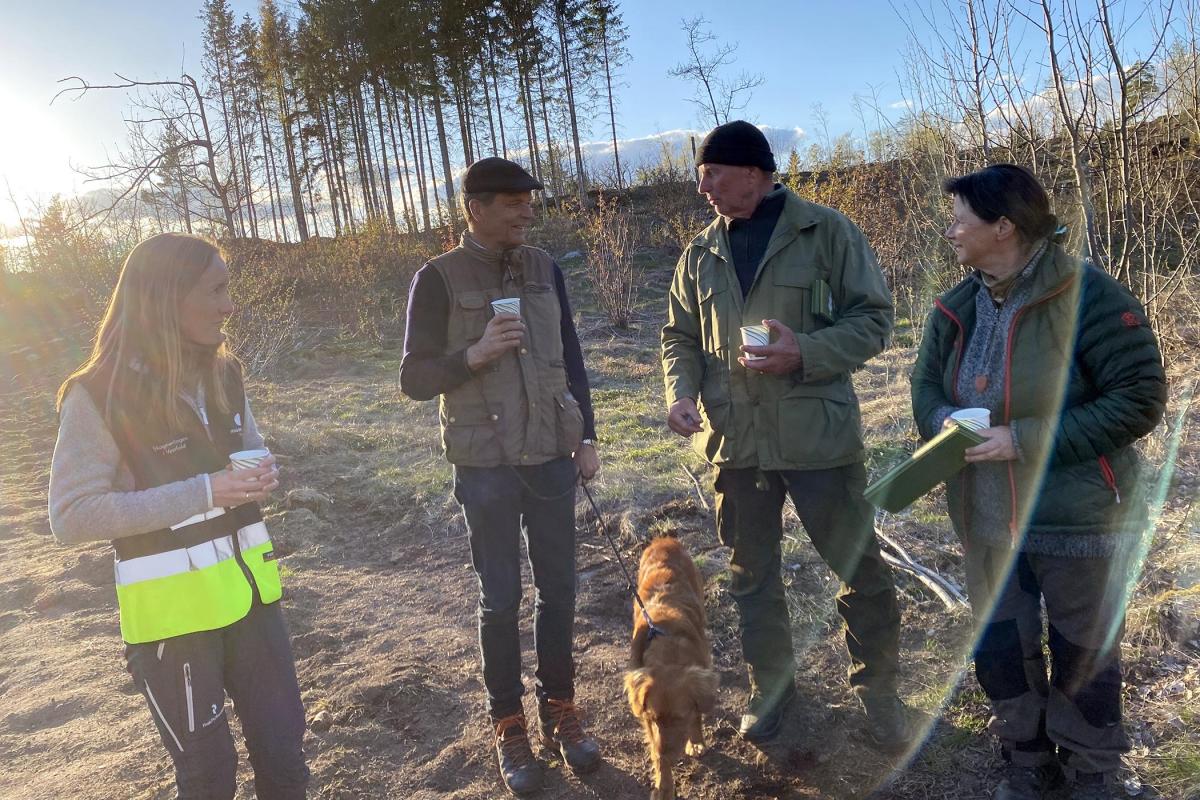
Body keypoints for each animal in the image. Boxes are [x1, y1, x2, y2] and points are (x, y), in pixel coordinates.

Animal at [624, 537, 715, 800]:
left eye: (679, 718)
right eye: (655, 718)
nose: (665, 752)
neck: (670, 652)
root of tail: (664, 539)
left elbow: (697, 715)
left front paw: (696, 741)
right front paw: (664, 785)